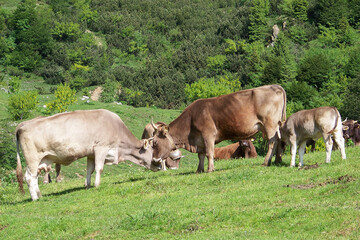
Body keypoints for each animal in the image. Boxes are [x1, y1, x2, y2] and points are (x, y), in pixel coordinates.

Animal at [15, 109, 165, 201]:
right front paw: (97, 185)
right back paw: (35, 198)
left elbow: (89, 170)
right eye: (152, 149)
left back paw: (39, 195)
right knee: (30, 177)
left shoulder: (91, 153)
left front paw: (87, 185)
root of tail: (23, 125)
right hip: (32, 158)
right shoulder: (101, 148)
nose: (159, 166)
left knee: (34, 177)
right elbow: (99, 168)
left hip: (41, 159)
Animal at [150, 85, 286, 172]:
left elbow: (209, 153)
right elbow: (201, 155)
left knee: (272, 142)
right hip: (275, 125)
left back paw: (266, 162)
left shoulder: (208, 135)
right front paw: (199, 170)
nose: (154, 159)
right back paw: (277, 161)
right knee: (279, 140)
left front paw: (210, 169)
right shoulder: (199, 140)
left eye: (155, 142)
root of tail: (275, 86)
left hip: (270, 124)